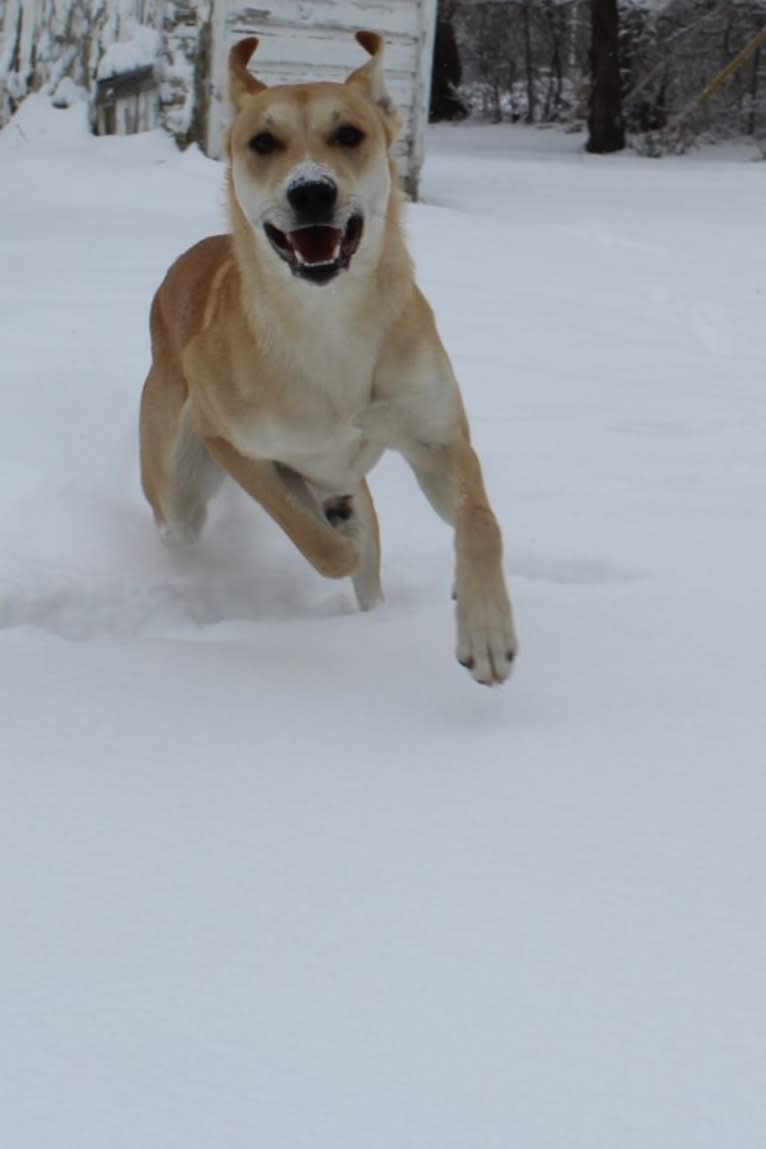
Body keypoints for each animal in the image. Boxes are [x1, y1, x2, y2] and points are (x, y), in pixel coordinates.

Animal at [140, 31, 519, 684]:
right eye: (262, 142)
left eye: (349, 134)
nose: (312, 190)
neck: (331, 320)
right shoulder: (227, 436)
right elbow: (309, 537)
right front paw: (332, 538)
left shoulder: (436, 438)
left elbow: (479, 520)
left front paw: (485, 627)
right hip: (176, 488)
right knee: (187, 524)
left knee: (370, 567)